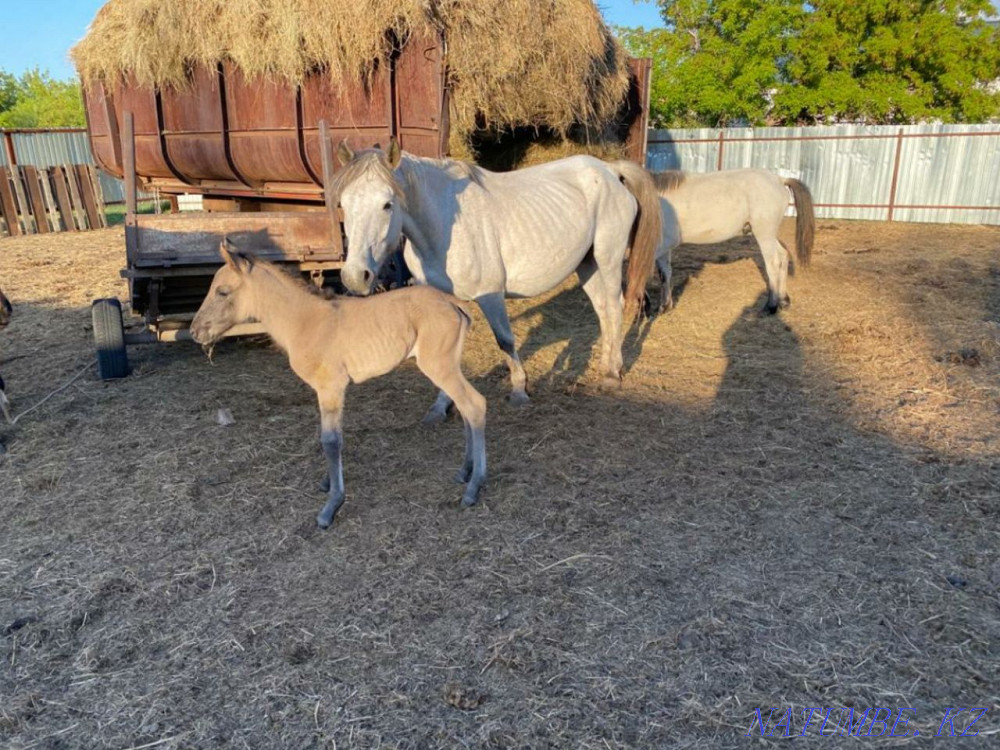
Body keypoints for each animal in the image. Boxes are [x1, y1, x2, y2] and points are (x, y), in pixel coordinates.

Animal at [190, 240, 487, 529]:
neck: (305, 321)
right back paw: (465, 471)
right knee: (465, 409)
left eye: (222, 292)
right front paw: (327, 482)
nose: (195, 331)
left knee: (475, 405)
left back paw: (474, 487)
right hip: (449, 365)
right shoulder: (333, 389)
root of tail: (453, 302)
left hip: (439, 365)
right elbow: (333, 435)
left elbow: (330, 441)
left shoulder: (329, 386)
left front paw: (331, 506)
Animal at [331, 139, 662, 423]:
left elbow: (505, 340)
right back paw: (608, 367)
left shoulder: (490, 295)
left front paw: (519, 391)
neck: (445, 224)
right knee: (603, 311)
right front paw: (441, 406)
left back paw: (612, 376)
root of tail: (611, 171)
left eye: (387, 204)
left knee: (615, 308)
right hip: (587, 265)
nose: (355, 277)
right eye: (343, 204)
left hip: (608, 260)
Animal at [652, 169, 815, 314]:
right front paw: (665, 306)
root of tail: (780, 179)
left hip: (764, 234)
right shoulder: (664, 247)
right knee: (783, 255)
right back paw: (784, 301)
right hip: (768, 234)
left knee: (773, 263)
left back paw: (771, 306)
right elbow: (665, 273)